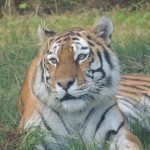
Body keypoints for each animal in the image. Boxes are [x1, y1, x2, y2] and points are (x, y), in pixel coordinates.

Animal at [17, 15, 144, 149]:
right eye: (53, 60)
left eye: (81, 57)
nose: (64, 84)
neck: (74, 115)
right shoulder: (32, 137)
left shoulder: (121, 132)